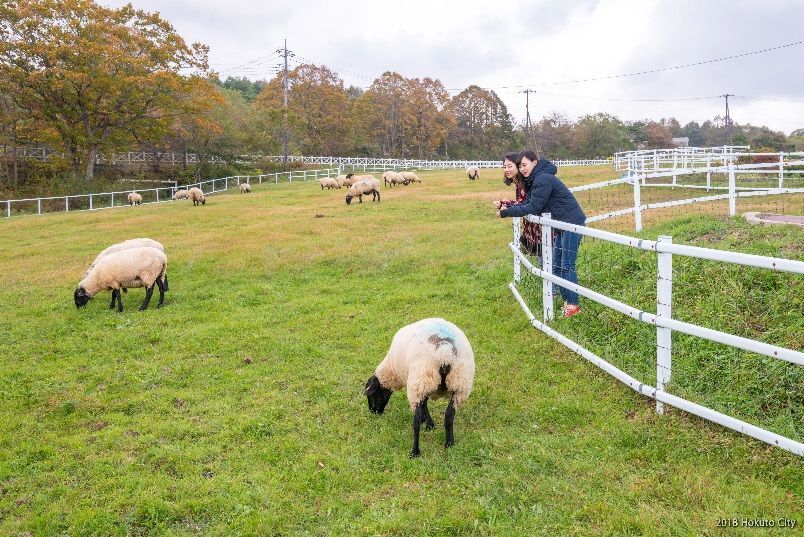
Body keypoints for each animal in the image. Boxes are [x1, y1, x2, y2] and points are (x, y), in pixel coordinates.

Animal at [366, 316, 474, 458]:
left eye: (371, 395)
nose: (373, 411)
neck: (392, 371)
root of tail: (444, 353)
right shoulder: (426, 386)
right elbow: (426, 404)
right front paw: (429, 424)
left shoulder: (419, 384)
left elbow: (423, 406)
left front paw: (427, 423)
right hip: (460, 385)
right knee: (449, 415)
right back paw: (449, 443)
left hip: (421, 379)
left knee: (415, 421)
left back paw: (415, 452)